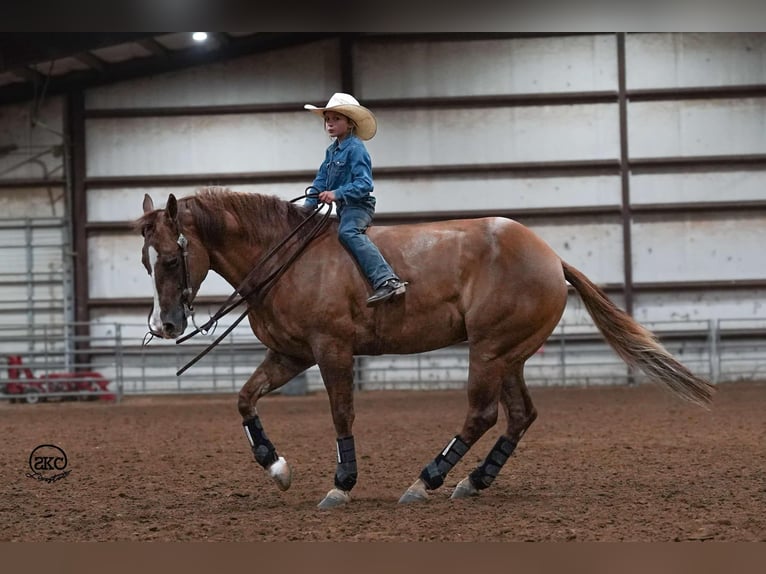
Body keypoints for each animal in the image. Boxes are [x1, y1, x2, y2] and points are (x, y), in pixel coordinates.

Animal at [136, 188, 712, 508]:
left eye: (172, 258)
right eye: (145, 261)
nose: (166, 325)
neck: (289, 260)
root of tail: (550, 257)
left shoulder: (331, 350)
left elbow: (341, 413)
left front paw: (342, 484)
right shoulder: (290, 355)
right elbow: (245, 398)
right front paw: (276, 468)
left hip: (489, 351)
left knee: (482, 414)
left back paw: (427, 480)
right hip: (509, 356)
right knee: (519, 415)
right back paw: (473, 482)